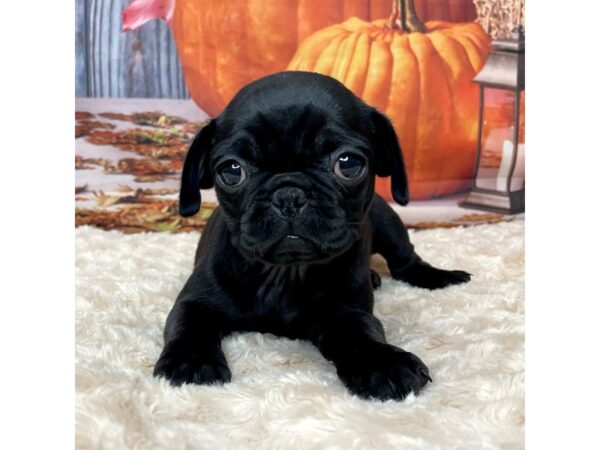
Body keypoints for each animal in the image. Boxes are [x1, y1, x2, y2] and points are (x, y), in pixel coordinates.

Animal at [152, 70, 472, 400]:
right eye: (231, 170)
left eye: (348, 163)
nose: (288, 195)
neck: (285, 274)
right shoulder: (195, 300)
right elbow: (188, 324)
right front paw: (191, 361)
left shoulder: (348, 313)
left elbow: (360, 335)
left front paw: (383, 363)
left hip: (389, 223)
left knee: (405, 261)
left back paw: (437, 276)